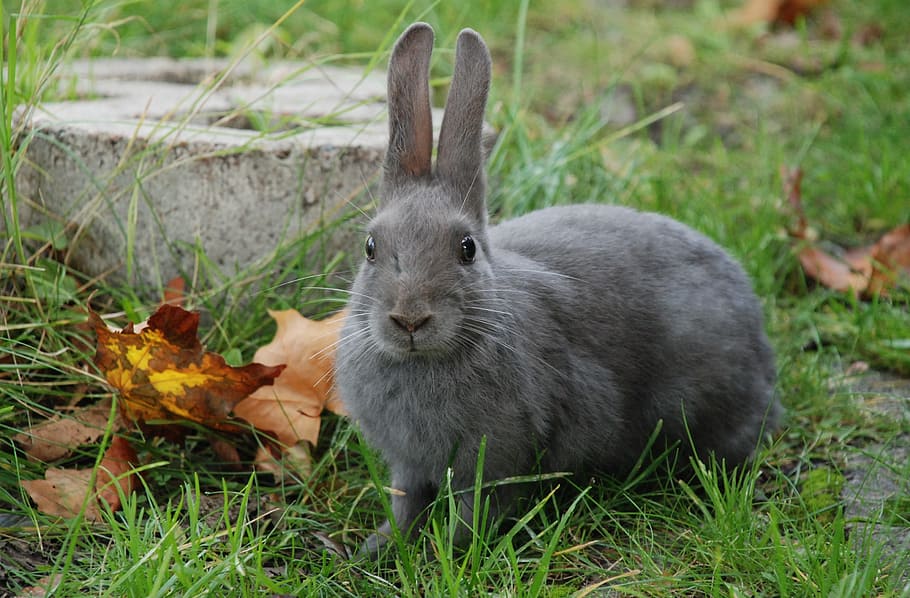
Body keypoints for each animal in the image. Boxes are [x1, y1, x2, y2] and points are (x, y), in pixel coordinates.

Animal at [335, 22, 780, 557]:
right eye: (370, 247)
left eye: (466, 248)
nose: (409, 319)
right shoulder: (409, 464)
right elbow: (406, 505)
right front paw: (379, 548)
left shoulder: (496, 459)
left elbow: (473, 513)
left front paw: (452, 553)